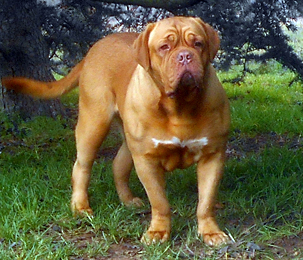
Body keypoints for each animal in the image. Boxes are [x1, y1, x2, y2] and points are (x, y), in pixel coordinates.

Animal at [1, 15, 230, 246]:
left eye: (198, 43)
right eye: (164, 47)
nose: (185, 56)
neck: (179, 107)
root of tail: (95, 47)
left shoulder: (212, 156)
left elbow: (205, 202)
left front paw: (210, 232)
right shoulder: (146, 159)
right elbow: (159, 201)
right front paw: (158, 231)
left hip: (129, 140)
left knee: (118, 165)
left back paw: (127, 200)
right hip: (93, 124)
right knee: (81, 167)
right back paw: (80, 207)